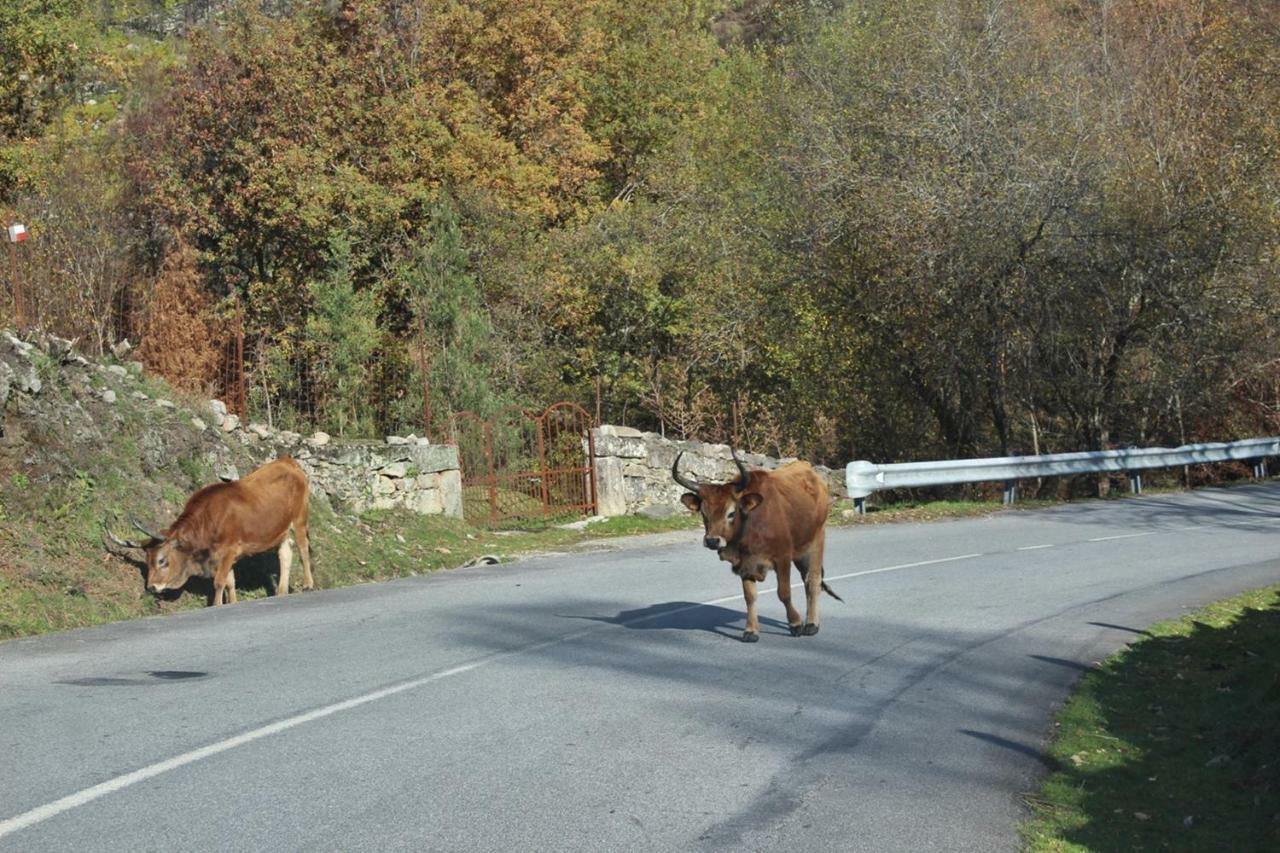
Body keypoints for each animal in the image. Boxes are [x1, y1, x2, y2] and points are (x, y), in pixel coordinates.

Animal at [107, 450, 312, 604]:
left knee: (303, 549)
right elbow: (230, 582)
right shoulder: (223, 556)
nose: (152, 587)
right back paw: (282, 591)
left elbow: (219, 582)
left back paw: (308, 584)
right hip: (280, 530)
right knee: (285, 554)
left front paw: (217, 604)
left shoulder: (229, 550)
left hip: (300, 519)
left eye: (162, 560)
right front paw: (232, 602)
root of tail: (288, 461)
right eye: (147, 560)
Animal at [670, 448, 839, 640]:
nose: (712, 540)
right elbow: (750, 597)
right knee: (807, 579)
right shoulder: (744, 564)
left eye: (731, 512)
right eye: (704, 513)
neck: (750, 526)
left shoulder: (783, 558)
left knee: (813, 580)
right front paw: (751, 630)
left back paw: (811, 623)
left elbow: (784, 593)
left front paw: (795, 624)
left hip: (816, 540)